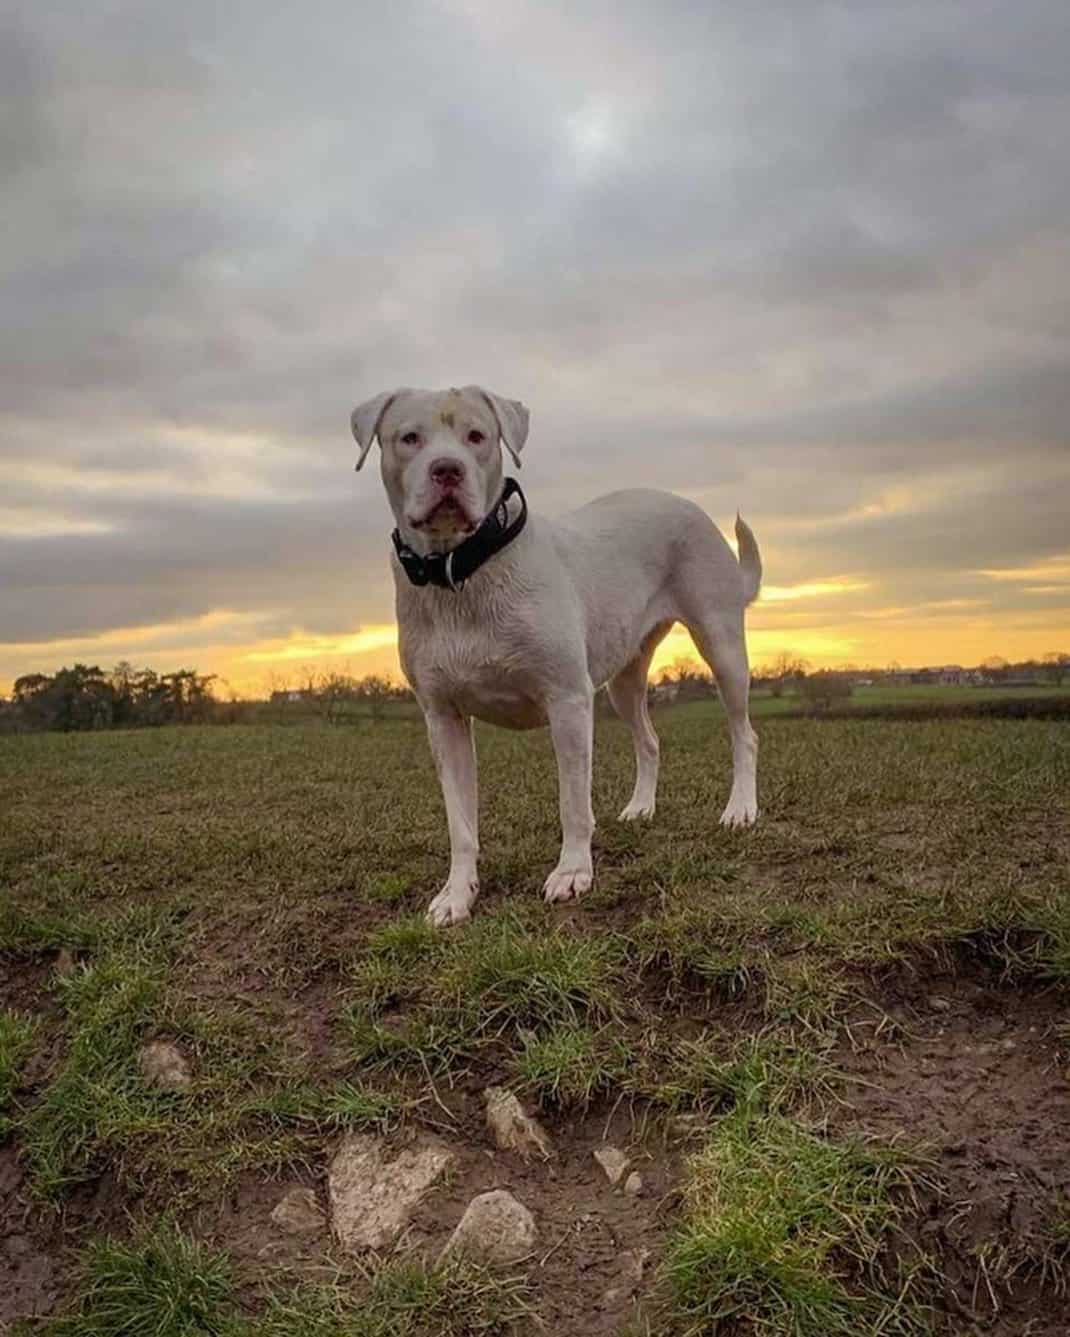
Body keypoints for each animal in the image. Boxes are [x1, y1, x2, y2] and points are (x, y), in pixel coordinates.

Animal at [350, 387, 759, 925]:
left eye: (477, 436)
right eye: (409, 438)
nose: (447, 470)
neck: (462, 573)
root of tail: (682, 501)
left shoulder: (567, 701)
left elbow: (572, 802)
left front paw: (572, 873)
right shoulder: (443, 718)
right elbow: (460, 824)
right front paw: (457, 894)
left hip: (721, 645)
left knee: (743, 734)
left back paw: (740, 810)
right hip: (622, 682)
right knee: (649, 740)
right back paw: (641, 808)